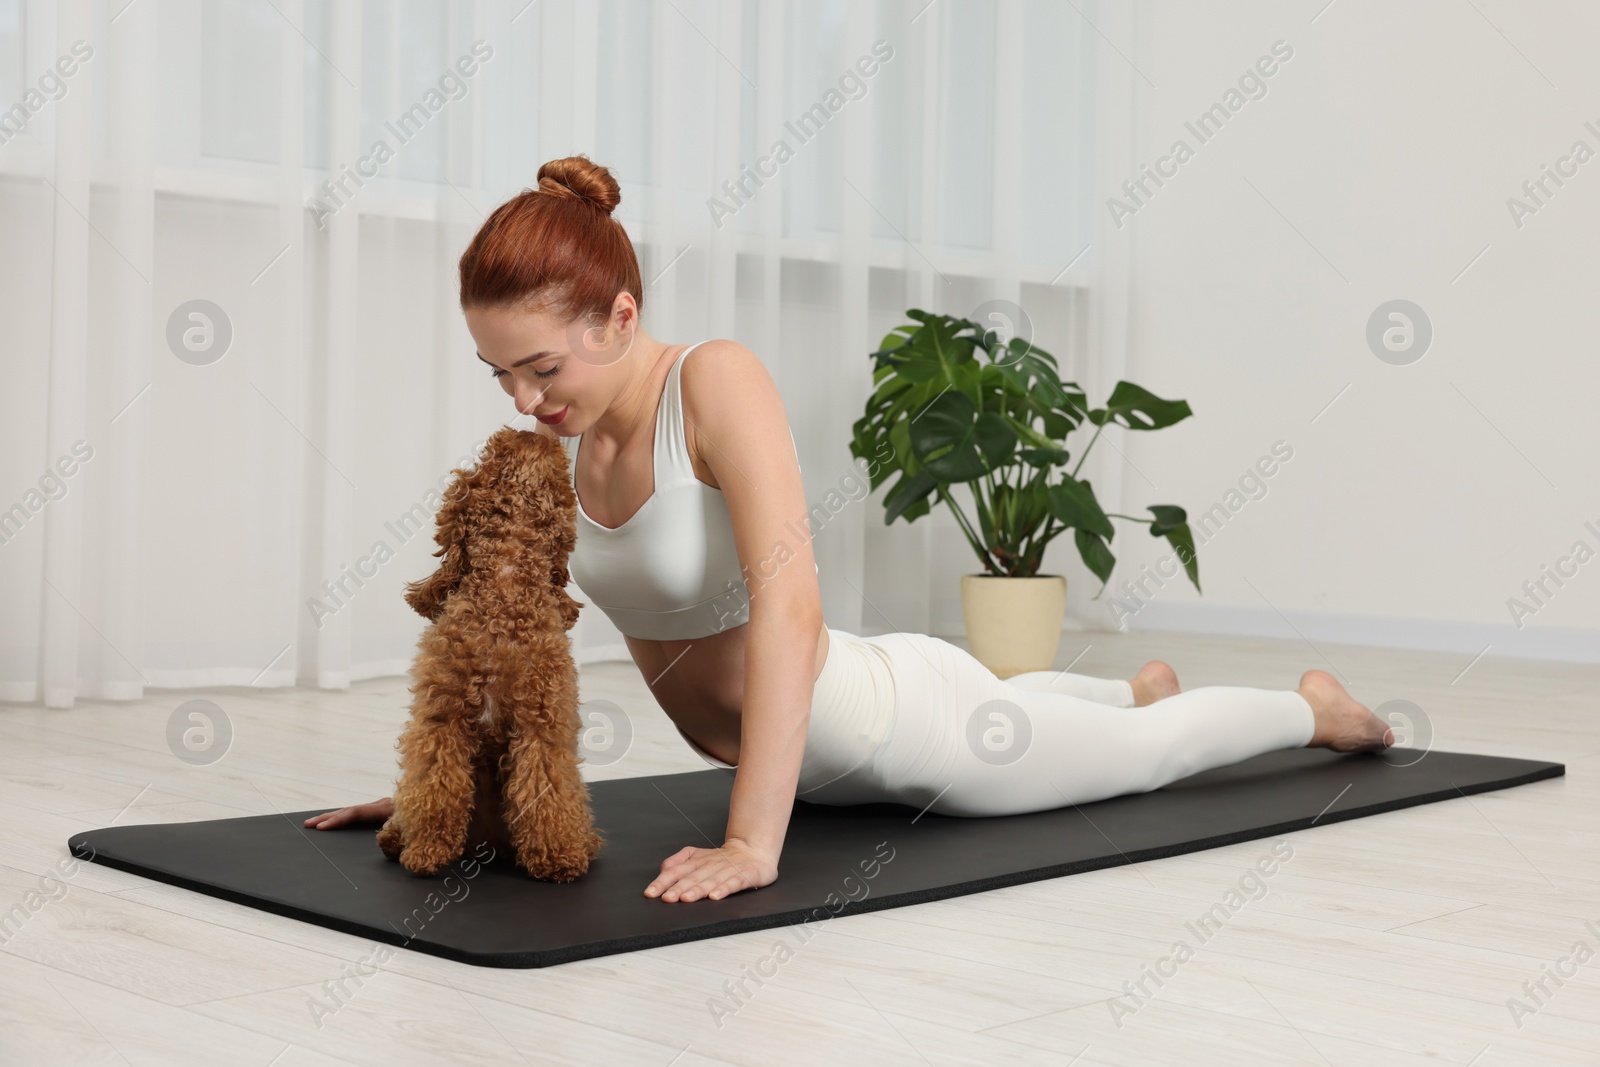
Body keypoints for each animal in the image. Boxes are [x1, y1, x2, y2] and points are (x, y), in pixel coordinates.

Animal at [376, 428, 604, 883]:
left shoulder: (542, 722)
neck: (506, 589)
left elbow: (547, 787)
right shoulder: (441, 719)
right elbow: (435, 785)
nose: (529, 431)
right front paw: (428, 850)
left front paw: (558, 856)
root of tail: (488, 846)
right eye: (490, 459)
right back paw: (397, 840)